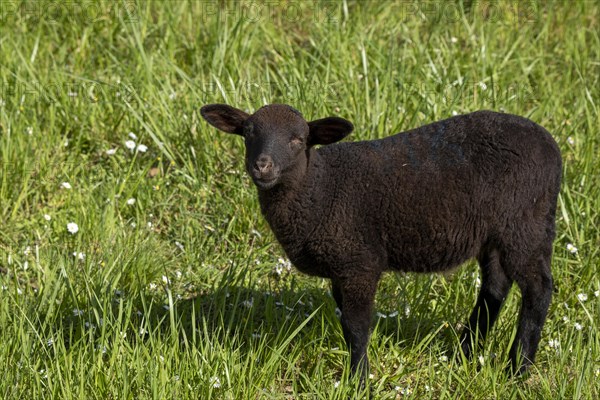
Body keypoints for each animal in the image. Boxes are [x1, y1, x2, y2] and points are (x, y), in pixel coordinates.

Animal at [200, 103, 564, 382]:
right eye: (248, 134)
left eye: (297, 139)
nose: (262, 166)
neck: (320, 188)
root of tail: (551, 146)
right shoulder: (341, 267)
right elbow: (346, 323)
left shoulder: (359, 263)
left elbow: (357, 326)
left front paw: (359, 381)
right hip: (497, 233)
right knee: (495, 286)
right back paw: (464, 351)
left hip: (524, 224)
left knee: (538, 288)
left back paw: (517, 370)